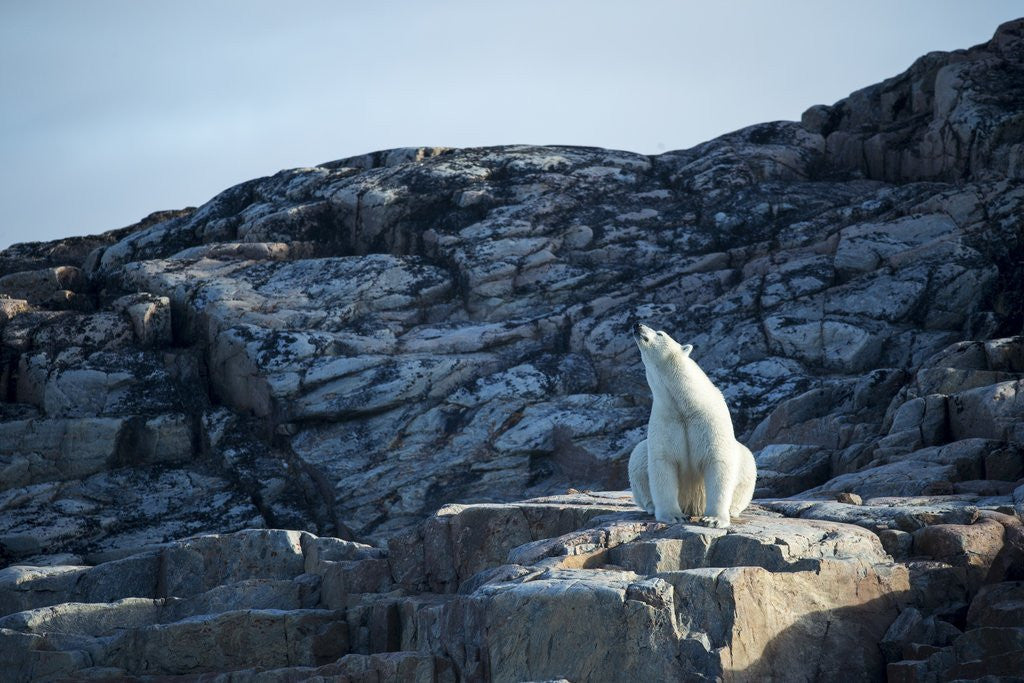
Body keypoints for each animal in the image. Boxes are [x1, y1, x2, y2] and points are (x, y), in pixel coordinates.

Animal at [628, 322, 756, 528]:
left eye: (660, 333)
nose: (637, 324)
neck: (686, 405)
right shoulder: (666, 419)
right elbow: (663, 462)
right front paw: (674, 516)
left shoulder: (709, 421)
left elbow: (718, 461)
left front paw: (713, 519)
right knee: (638, 455)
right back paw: (652, 507)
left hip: (745, 463)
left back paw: (732, 510)